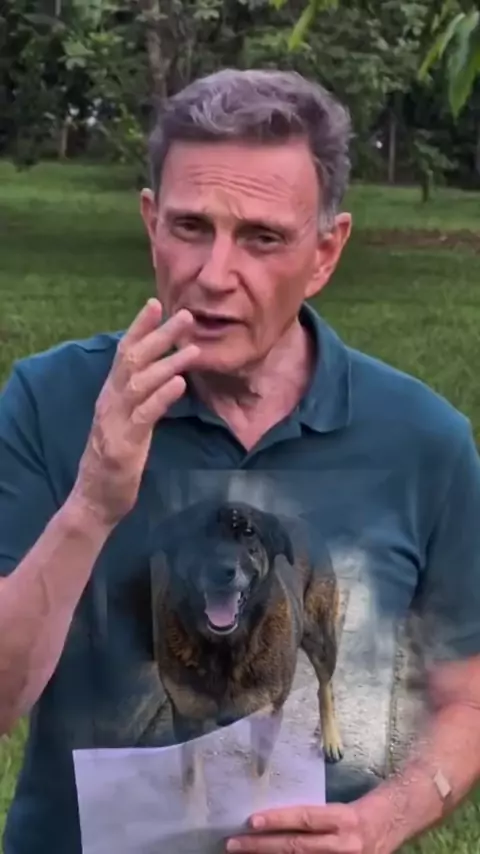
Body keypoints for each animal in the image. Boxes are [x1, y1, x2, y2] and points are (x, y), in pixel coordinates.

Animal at [149, 498, 343, 819]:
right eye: (195, 533)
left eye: (249, 532)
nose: (221, 570)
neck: (225, 648)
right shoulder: (187, 719)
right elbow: (192, 780)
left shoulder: (267, 715)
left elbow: (259, 774)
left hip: (320, 638)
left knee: (325, 686)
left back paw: (331, 738)